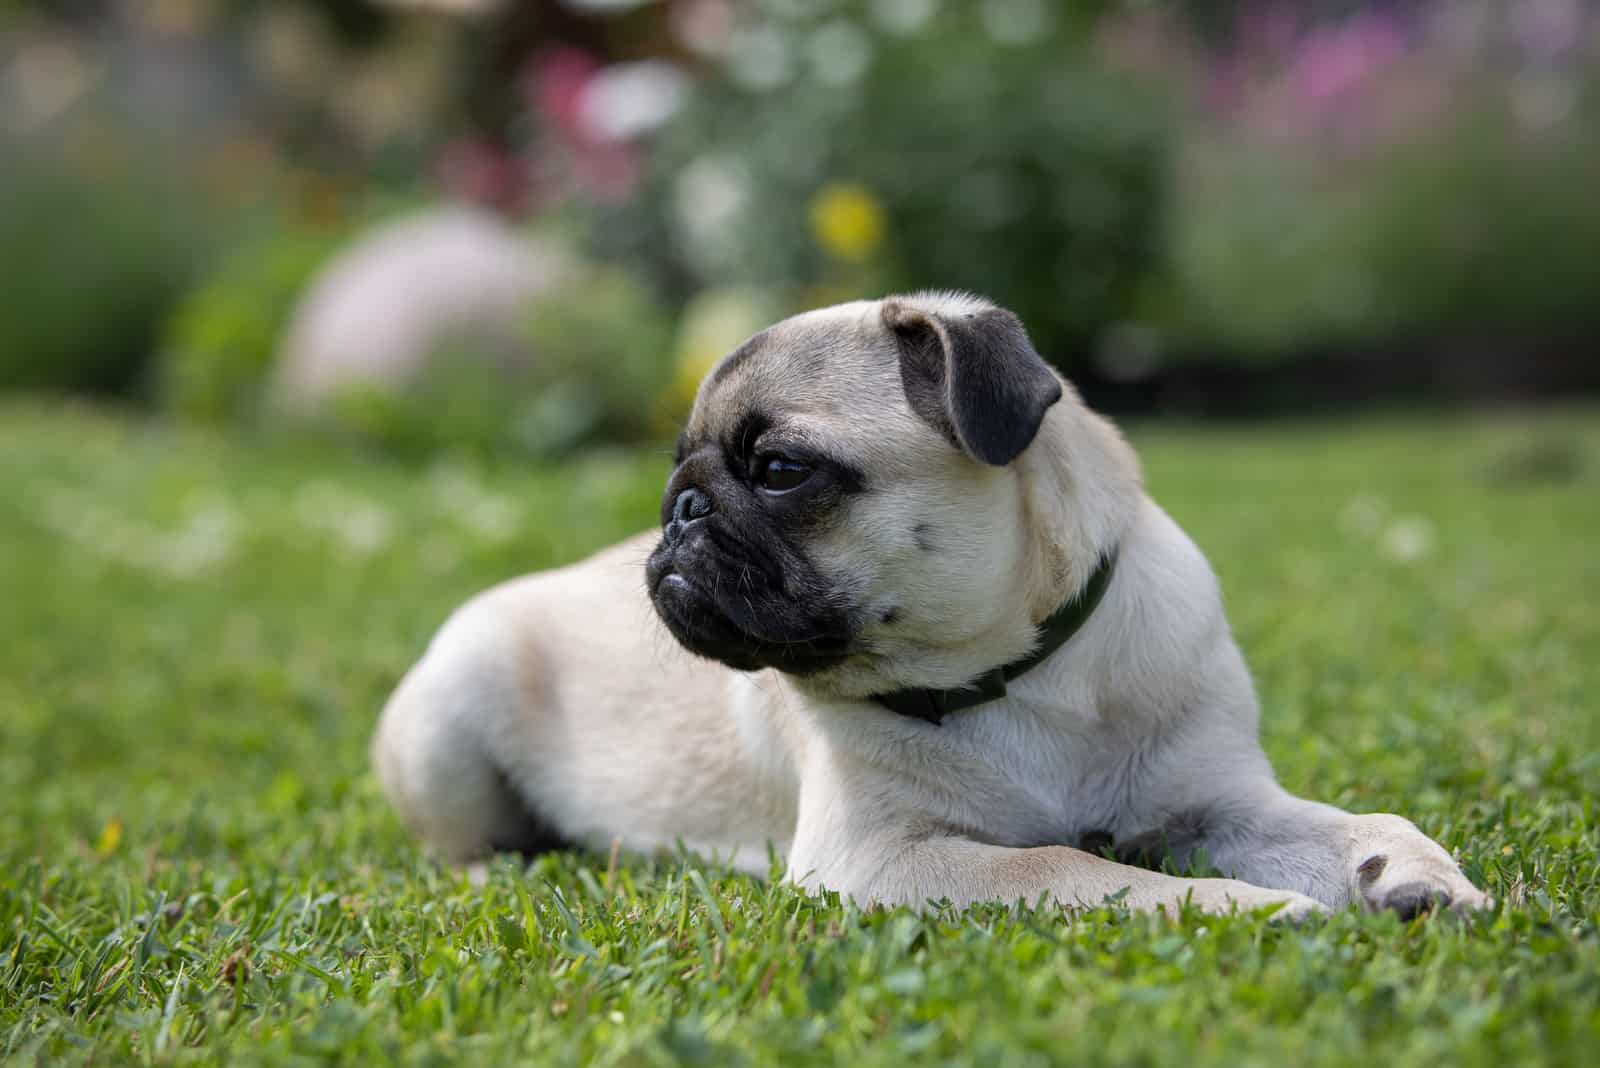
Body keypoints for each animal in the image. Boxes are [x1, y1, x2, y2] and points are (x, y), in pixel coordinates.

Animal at [368, 289, 1491, 920]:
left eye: (777, 469)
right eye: (678, 475)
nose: (680, 511)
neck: (1022, 674)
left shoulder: (1219, 801)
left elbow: (1354, 822)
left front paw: (1410, 874)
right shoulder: (879, 859)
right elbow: (1063, 867)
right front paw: (1238, 907)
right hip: (451, 711)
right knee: (453, 844)